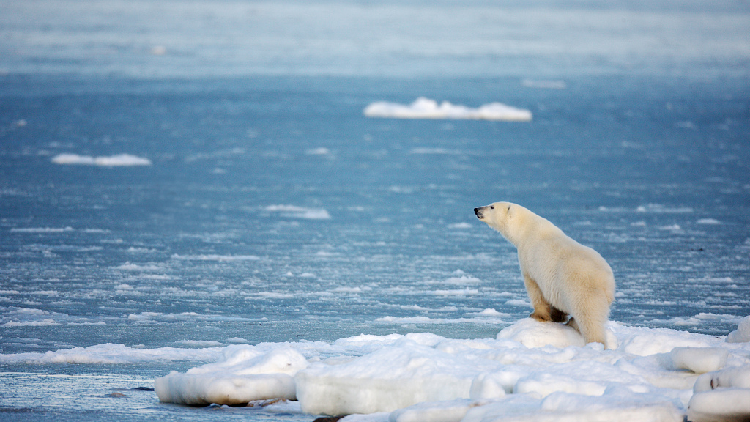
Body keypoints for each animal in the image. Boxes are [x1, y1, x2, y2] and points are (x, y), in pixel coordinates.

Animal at [476, 203, 616, 344]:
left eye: (492, 207)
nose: (476, 209)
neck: (526, 230)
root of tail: (607, 282)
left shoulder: (529, 260)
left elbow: (535, 289)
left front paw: (537, 315)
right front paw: (557, 316)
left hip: (583, 289)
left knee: (588, 317)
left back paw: (594, 341)